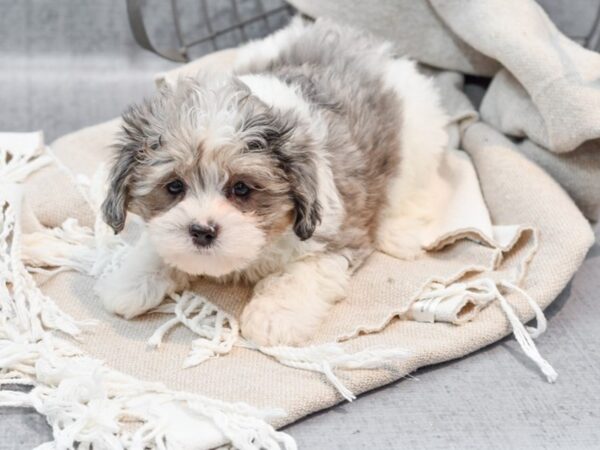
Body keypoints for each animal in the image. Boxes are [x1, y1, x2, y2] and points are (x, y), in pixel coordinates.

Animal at [99, 17, 446, 346]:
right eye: (174, 187)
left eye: (241, 188)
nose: (202, 231)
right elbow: (155, 245)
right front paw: (130, 283)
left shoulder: (335, 236)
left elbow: (300, 273)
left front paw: (275, 317)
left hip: (415, 144)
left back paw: (399, 234)